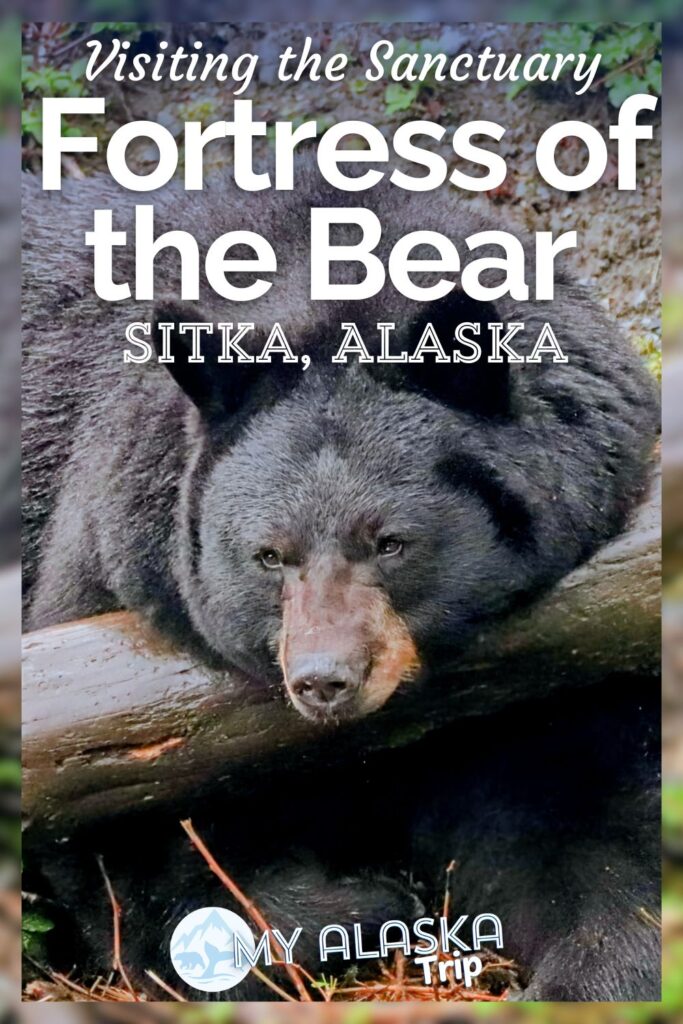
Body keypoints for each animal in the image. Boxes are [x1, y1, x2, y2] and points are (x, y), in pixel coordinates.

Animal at [21, 161, 659, 999]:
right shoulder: (110, 586)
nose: (324, 679)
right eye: (268, 555)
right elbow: (127, 836)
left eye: (389, 543)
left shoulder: (567, 645)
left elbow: (582, 799)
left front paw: (594, 969)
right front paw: (357, 906)